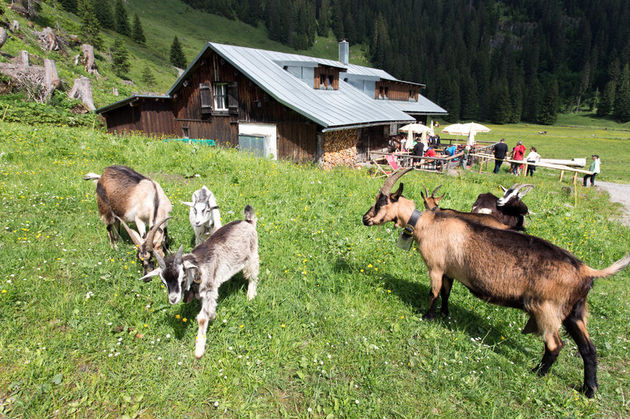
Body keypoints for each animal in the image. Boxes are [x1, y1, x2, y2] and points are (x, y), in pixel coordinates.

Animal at [362, 169, 630, 398]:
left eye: (381, 202)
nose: (365, 219)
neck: (427, 223)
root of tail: (585, 270)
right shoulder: (449, 270)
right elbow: (447, 293)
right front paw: (445, 315)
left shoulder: (436, 267)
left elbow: (434, 292)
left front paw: (427, 317)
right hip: (575, 312)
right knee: (589, 349)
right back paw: (589, 390)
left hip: (548, 308)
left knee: (555, 345)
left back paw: (537, 373)